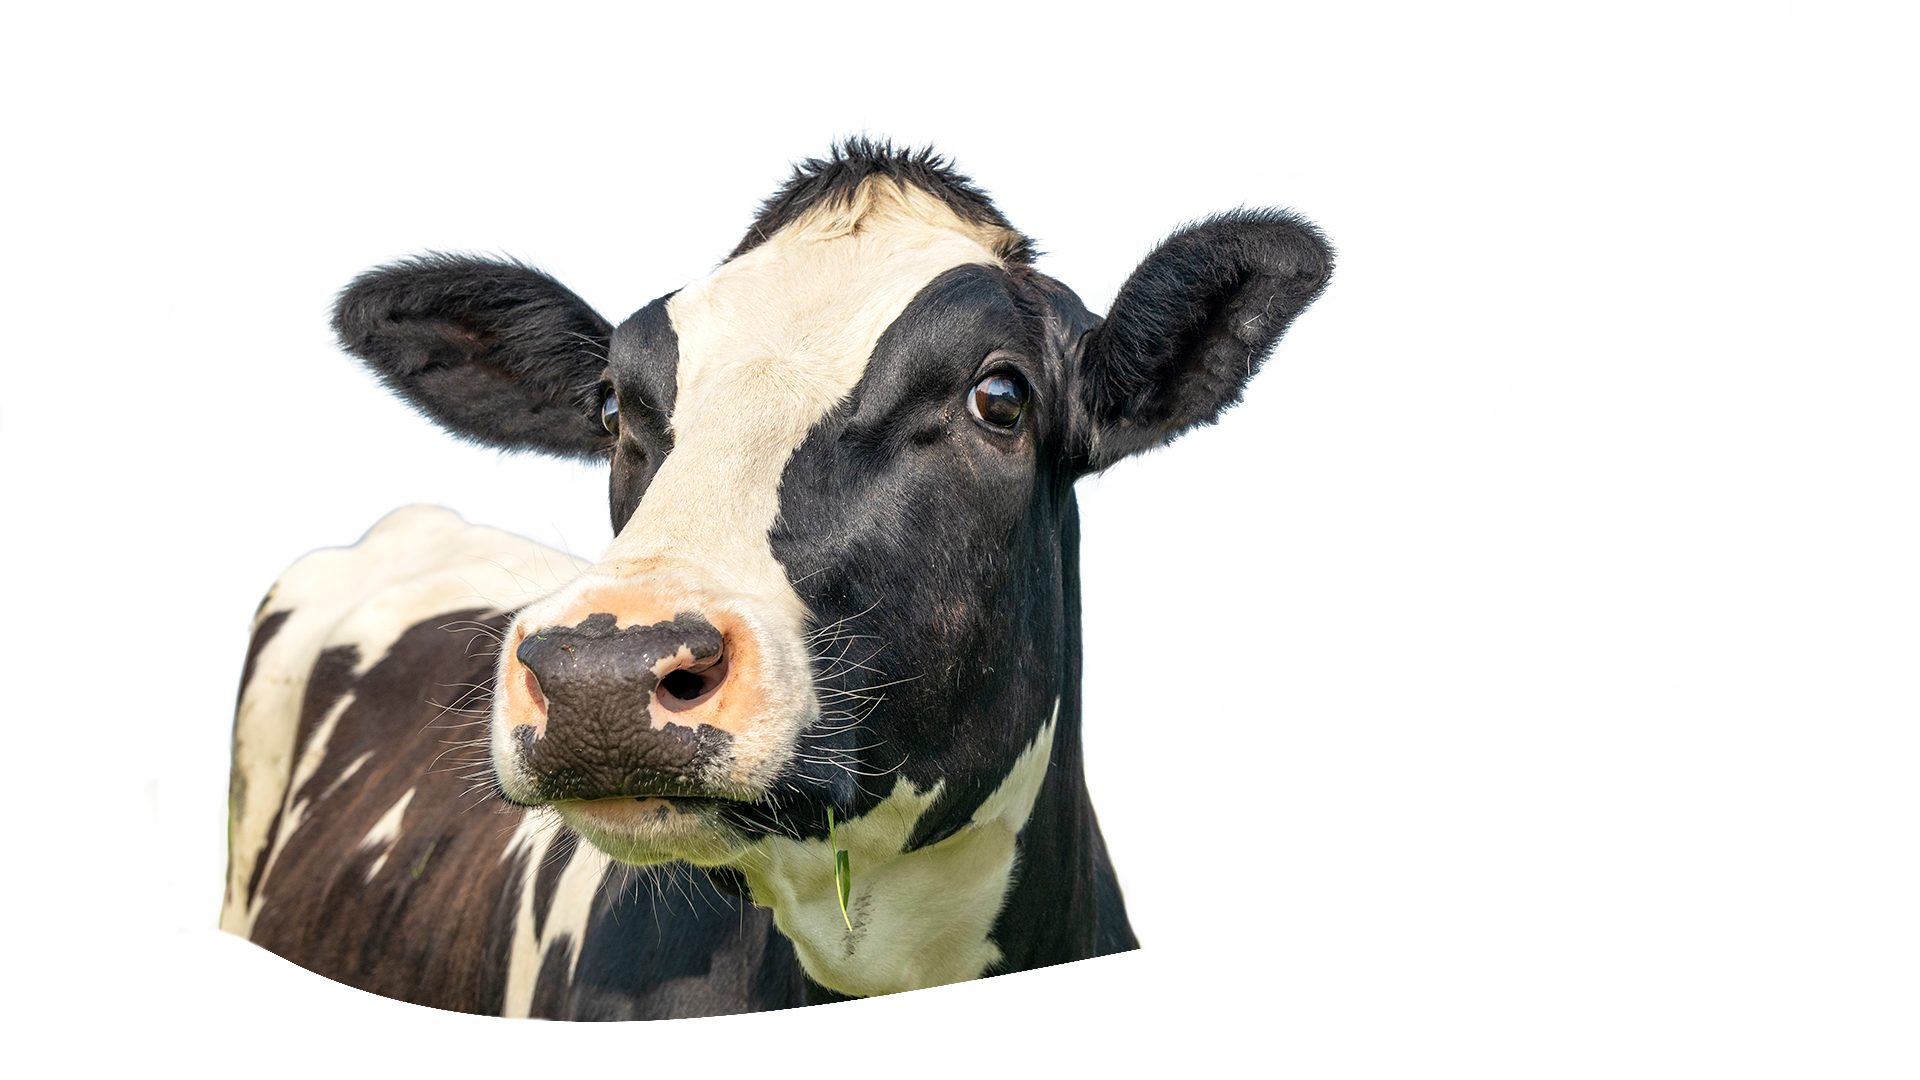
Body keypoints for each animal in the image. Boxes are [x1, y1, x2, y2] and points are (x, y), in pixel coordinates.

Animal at [1083, 756, 1211, 906]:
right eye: (1163, 802)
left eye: (1188, 804)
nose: (1175, 830)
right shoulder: (1115, 840)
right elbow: (1122, 879)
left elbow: (1147, 877)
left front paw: (1147, 901)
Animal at [1320, 720, 1570, 1022]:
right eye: (1390, 1015)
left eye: (1440, 1017)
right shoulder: (1371, 907)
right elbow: (1370, 996)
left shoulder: (1480, 915)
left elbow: (1467, 1004)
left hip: (1543, 897)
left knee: (1517, 967)